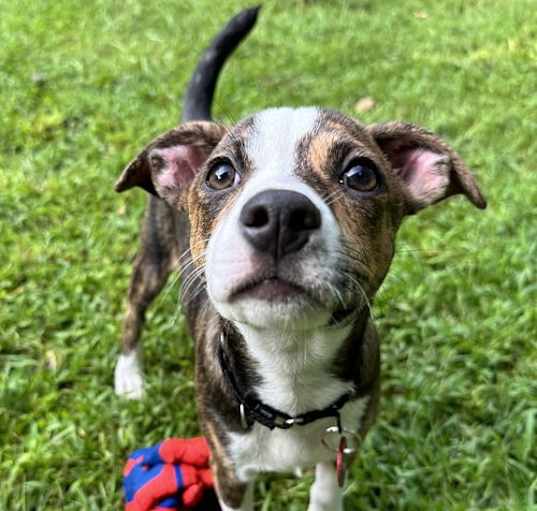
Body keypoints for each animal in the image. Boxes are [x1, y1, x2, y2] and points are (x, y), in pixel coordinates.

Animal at [113, 6, 486, 510]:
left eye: (361, 175)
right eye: (221, 173)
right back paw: (129, 376)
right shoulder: (228, 469)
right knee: (133, 311)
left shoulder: (345, 446)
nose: (279, 214)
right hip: (152, 259)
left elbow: (325, 493)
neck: (289, 368)